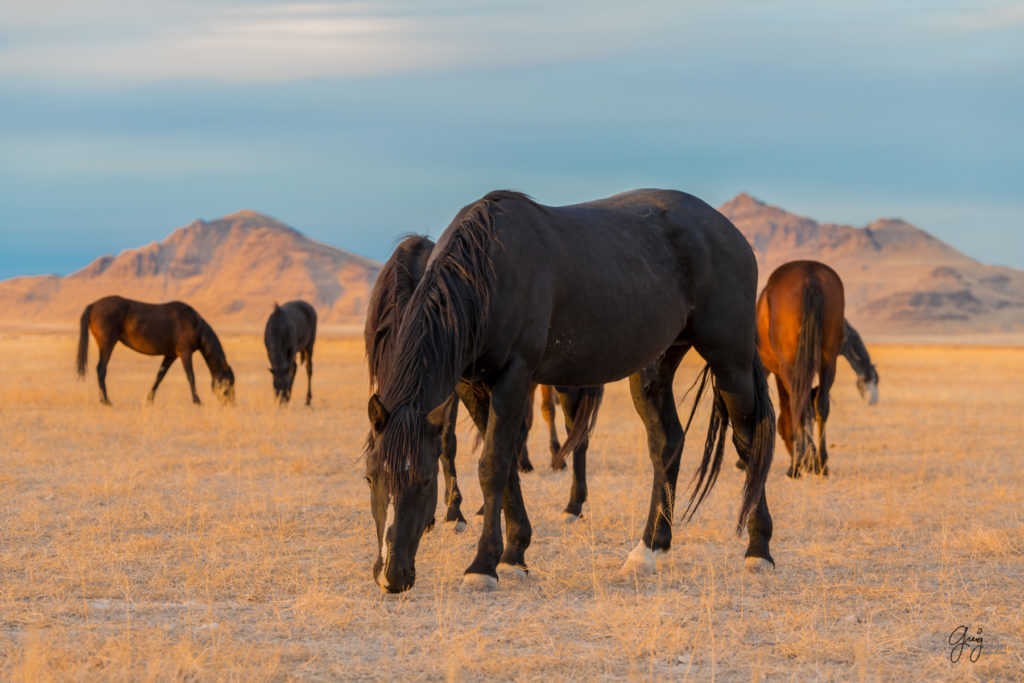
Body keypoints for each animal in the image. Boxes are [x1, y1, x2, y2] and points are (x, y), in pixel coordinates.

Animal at [76, 294, 234, 405]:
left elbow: (160, 376)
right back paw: (106, 401)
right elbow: (191, 376)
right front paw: (197, 401)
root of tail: (94, 305)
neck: (195, 324)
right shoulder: (185, 353)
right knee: (101, 369)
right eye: (228, 383)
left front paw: (150, 399)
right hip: (107, 344)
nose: (231, 404)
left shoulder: (171, 355)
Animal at [364, 237, 602, 536]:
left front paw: (454, 513)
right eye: (370, 477)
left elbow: (447, 442)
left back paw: (572, 500)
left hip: (564, 381)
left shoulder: (454, 388)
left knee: (574, 430)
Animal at [757, 259, 843, 479]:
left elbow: (790, 412)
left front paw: (803, 460)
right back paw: (822, 463)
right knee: (821, 403)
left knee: (799, 404)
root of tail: (809, 275)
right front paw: (812, 461)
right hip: (829, 361)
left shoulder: (779, 373)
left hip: (791, 366)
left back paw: (796, 465)